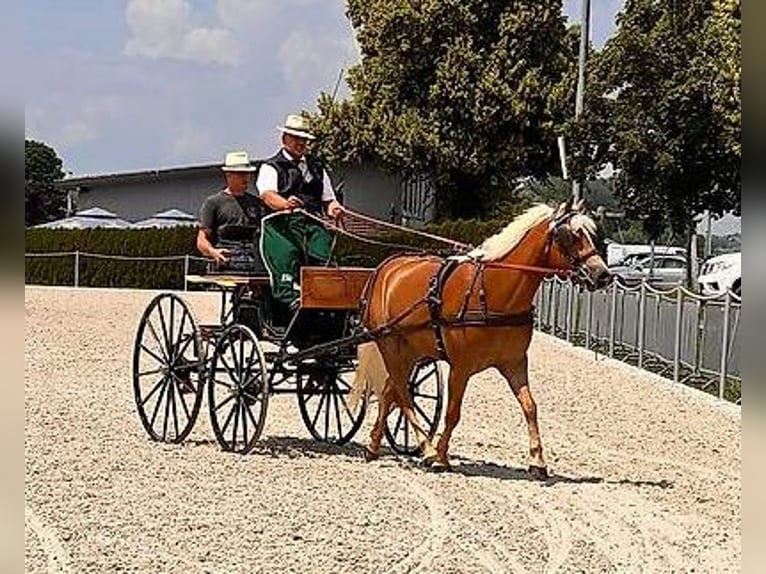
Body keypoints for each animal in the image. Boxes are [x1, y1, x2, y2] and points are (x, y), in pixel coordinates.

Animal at [350, 200, 612, 480]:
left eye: (592, 234)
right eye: (570, 235)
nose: (602, 274)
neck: (493, 291)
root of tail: (386, 267)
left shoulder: (515, 363)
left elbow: (530, 407)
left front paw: (538, 461)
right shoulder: (460, 367)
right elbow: (452, 413)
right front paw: (440, 457)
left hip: (411, 350)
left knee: (391, 391)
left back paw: (374, 445)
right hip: (390, 344)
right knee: (401, 392)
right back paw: (426, 449)